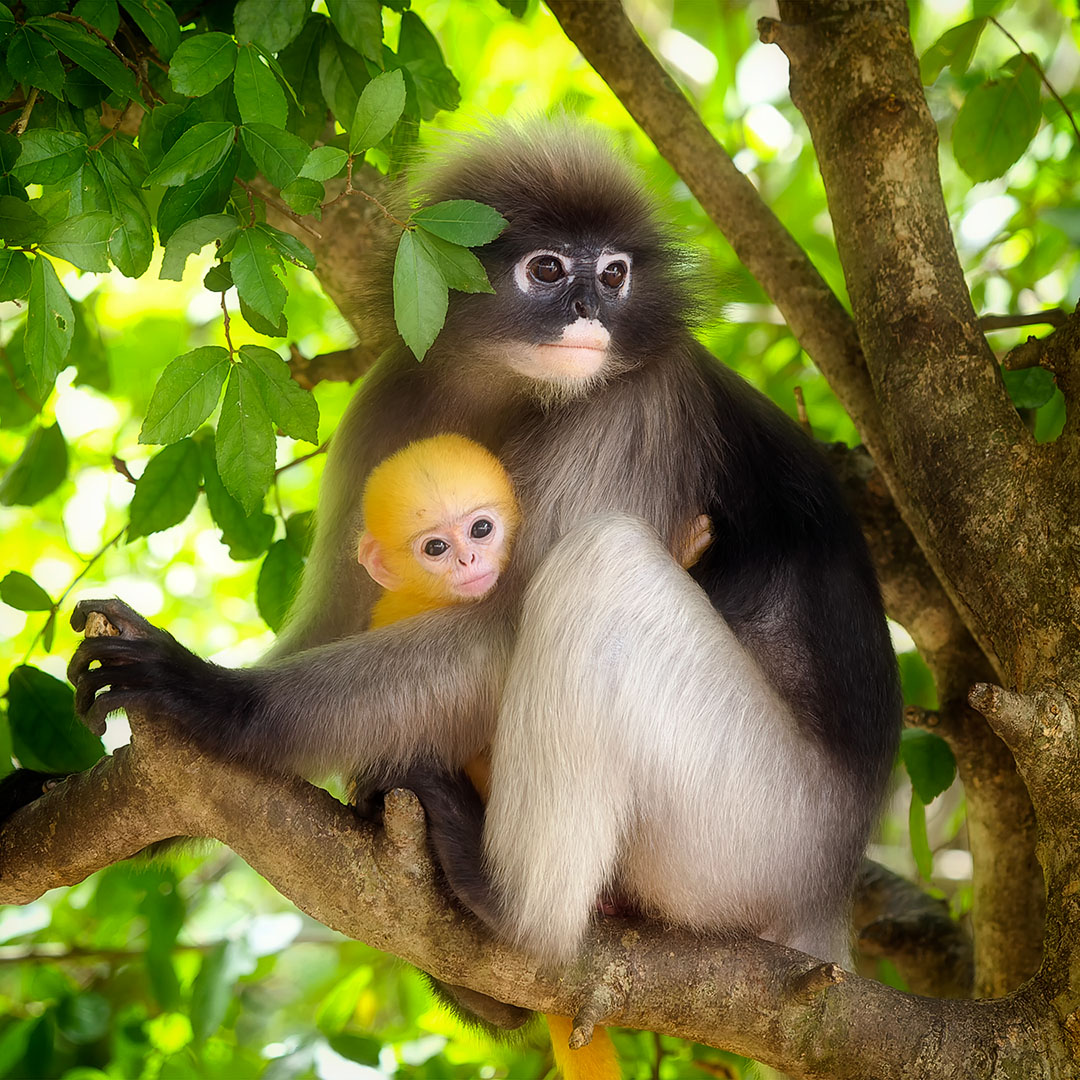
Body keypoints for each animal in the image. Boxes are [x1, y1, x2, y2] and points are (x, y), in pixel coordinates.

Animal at [65, 120, 901, 1030]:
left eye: (614, 274)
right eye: (549, 270)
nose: (589, 310)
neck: (510, 386)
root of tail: (829, 896)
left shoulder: (637, 406)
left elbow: (501, 633)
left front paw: (209, 695)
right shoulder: (393, 394)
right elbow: (335, 616)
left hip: (752, 833)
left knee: (599, 570)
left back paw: (509, 907)